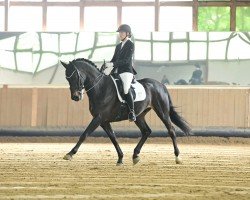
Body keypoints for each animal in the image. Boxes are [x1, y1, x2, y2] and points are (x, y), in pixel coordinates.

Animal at [60, 58, 191, 166]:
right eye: (67, 78)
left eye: (76, 76)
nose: (76, 97)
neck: (101, 88)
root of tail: (160, 85)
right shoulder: (104, 121)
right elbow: (113, 137)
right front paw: (120, 158)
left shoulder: (98, 118)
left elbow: (85, 134)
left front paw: (70, 154)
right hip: (139, 115)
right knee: (146, 131)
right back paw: (135, 155)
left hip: (162, 112)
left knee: (171, 130)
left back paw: (178, 157)